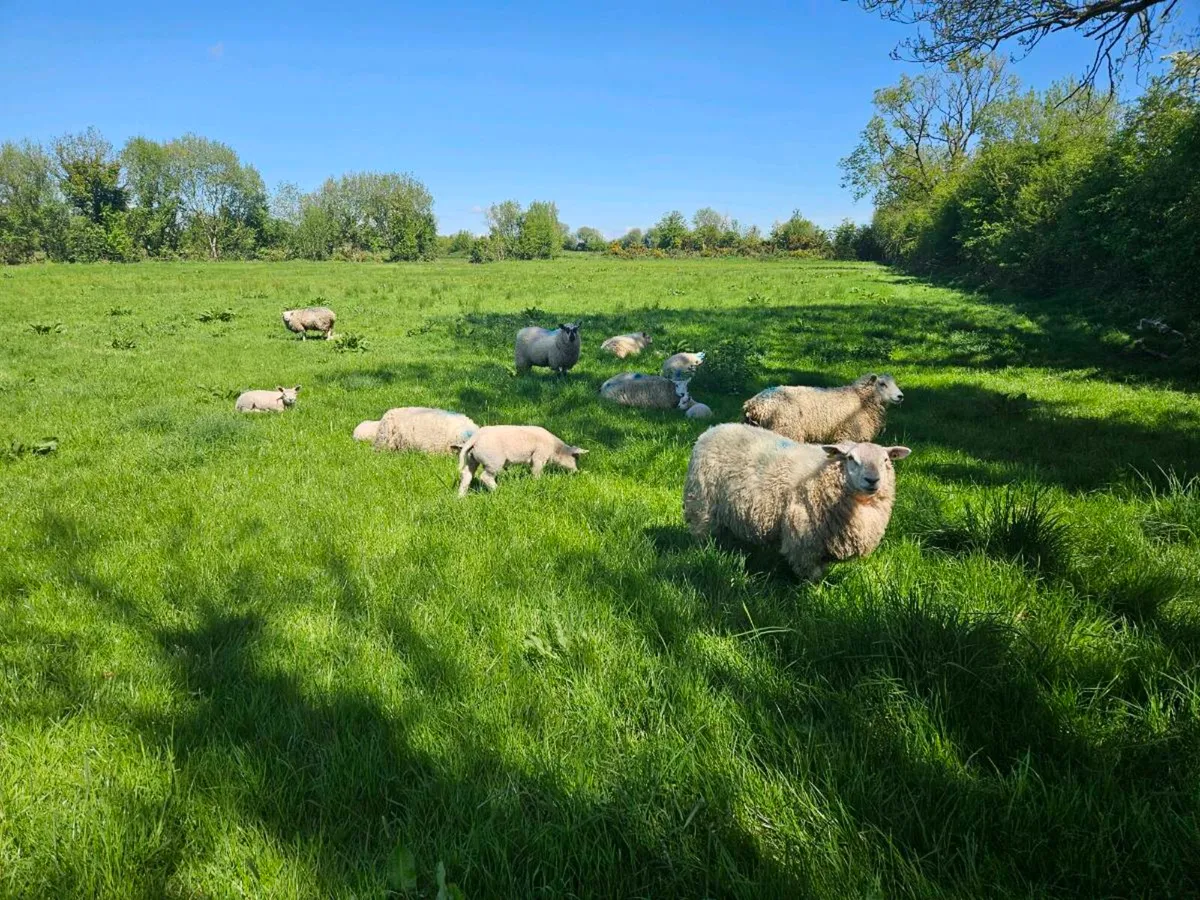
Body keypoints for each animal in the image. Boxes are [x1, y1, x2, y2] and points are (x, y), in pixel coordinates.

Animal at [454, 425, 587, 496]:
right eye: (575, 458)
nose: (576, 472)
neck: (555, 449)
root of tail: (475, 438)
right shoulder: (539, 457)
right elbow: (536, 472)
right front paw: (537, 483)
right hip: (493, 461)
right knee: (485, 477)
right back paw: (498, 490)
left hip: (472, 459)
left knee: (466, 474)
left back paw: (461, 496)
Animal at [683, 423, 911, 580]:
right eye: (851, 459)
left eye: (885, 460)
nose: (872, 480)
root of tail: (713, 429)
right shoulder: (804, 540)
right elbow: (811, 575)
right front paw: (814, 594)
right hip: (701, 503)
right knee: (702, 532)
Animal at [742, 373, 904, 443]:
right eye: (882, 384)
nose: (900, 396)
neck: (861, 399)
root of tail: (754, 405)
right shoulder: (848, 435)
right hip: (786, 431)